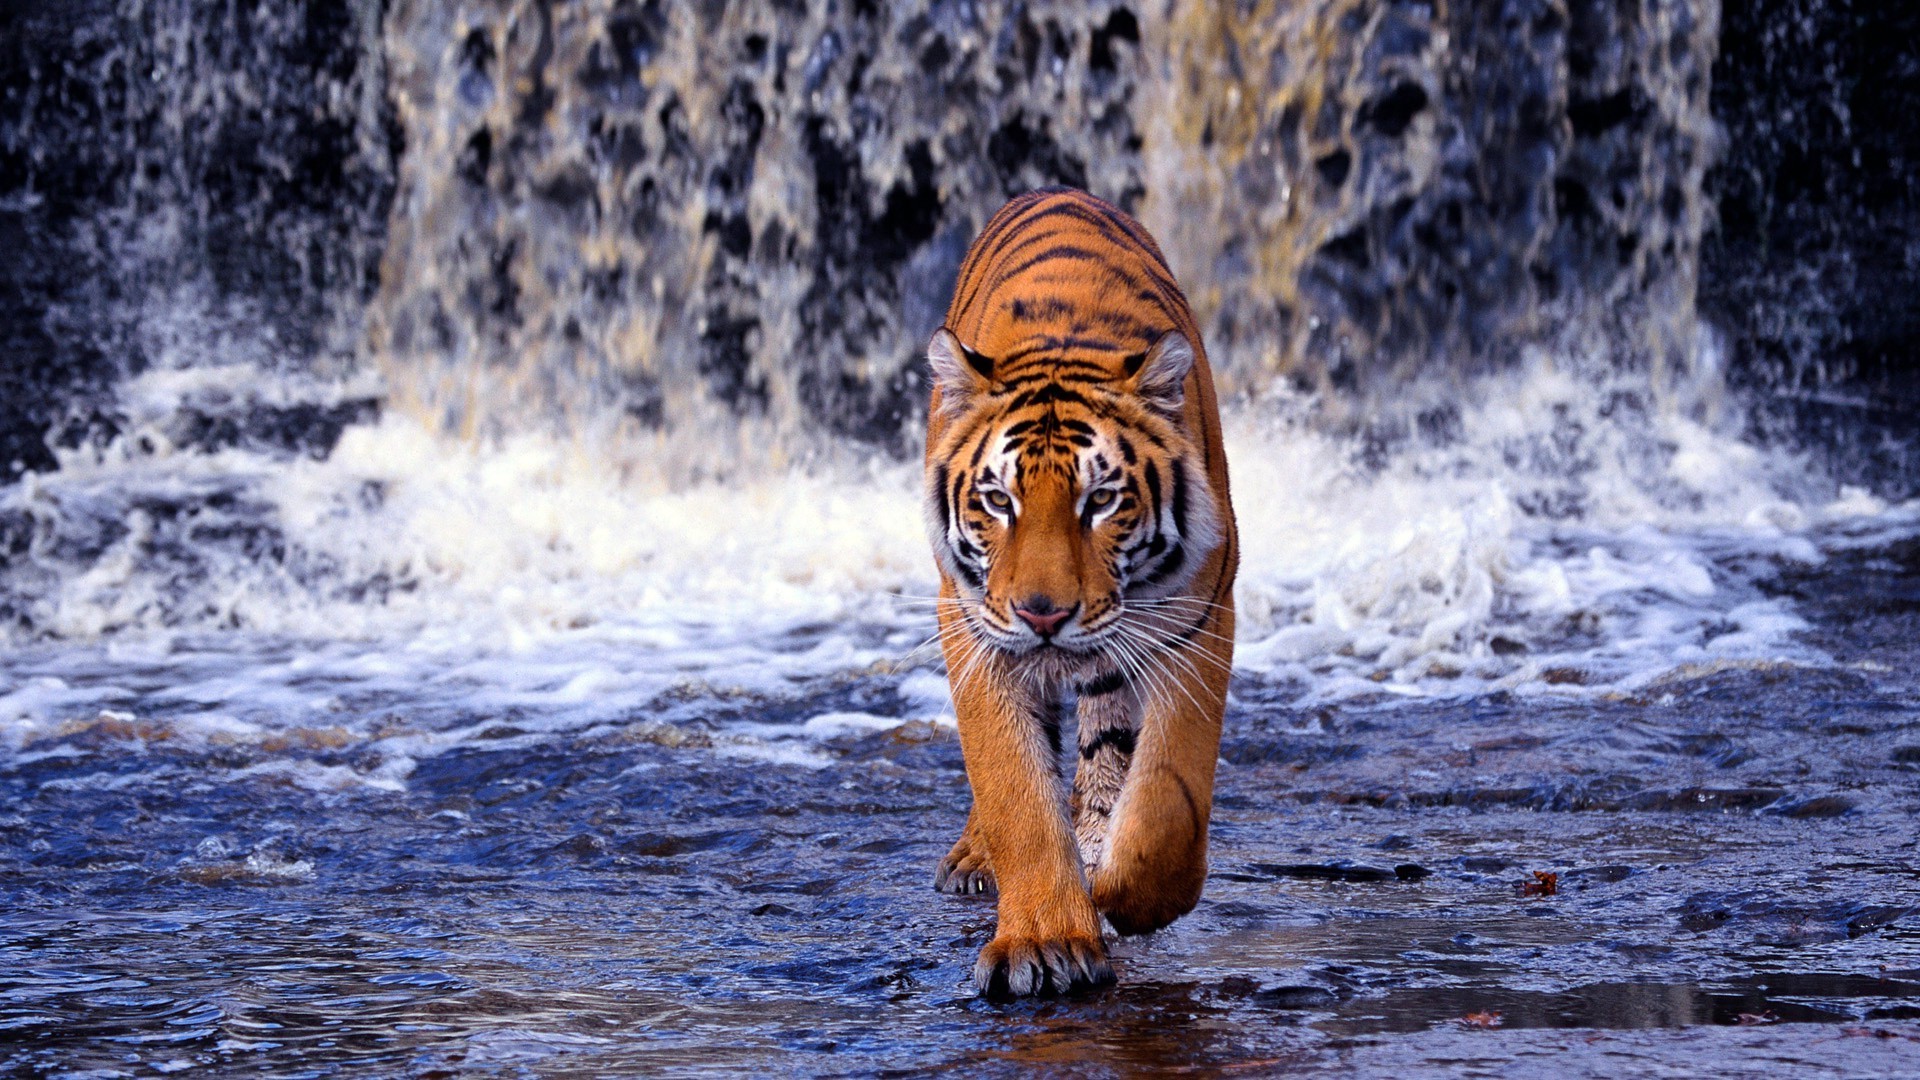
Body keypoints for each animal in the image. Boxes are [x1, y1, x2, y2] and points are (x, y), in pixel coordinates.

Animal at [921, 187, 1236, 991]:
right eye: (998, 500)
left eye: (1101, 501)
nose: (1043, 615)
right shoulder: (973, 627)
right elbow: (1014, 789)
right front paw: (1044, 942)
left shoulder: (1197, 619)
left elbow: (1168, 794)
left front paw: (1130, 894)